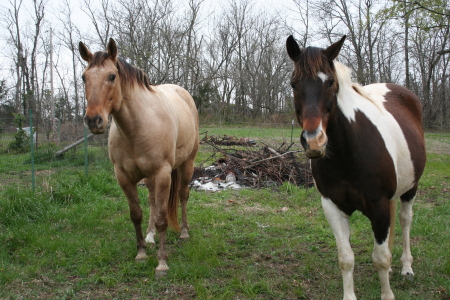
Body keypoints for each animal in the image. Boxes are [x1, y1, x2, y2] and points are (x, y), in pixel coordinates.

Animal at [78, 38, 199, 274]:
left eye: (112, 76)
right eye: (84, 77)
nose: (94, 120)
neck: (137, 126)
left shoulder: (162, 174)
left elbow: (162, 218)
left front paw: (162, 263)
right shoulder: (124, 176)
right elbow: (136, 214)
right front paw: (142, 252)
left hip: (186, 165)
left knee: (183, 195)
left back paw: (184, 232)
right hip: (149, 178)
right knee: (152, 200)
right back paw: (151, 236)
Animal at [286, 35, 428, 300]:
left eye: (330, 82)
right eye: (293, 84)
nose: (314, 141)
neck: (347, 155)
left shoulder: (378, 206)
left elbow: (380, 258)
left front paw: (387, 294)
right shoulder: (333, 207)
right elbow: (346, 258)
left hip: (410, 188)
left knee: (405, 221)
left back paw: (406, 267)